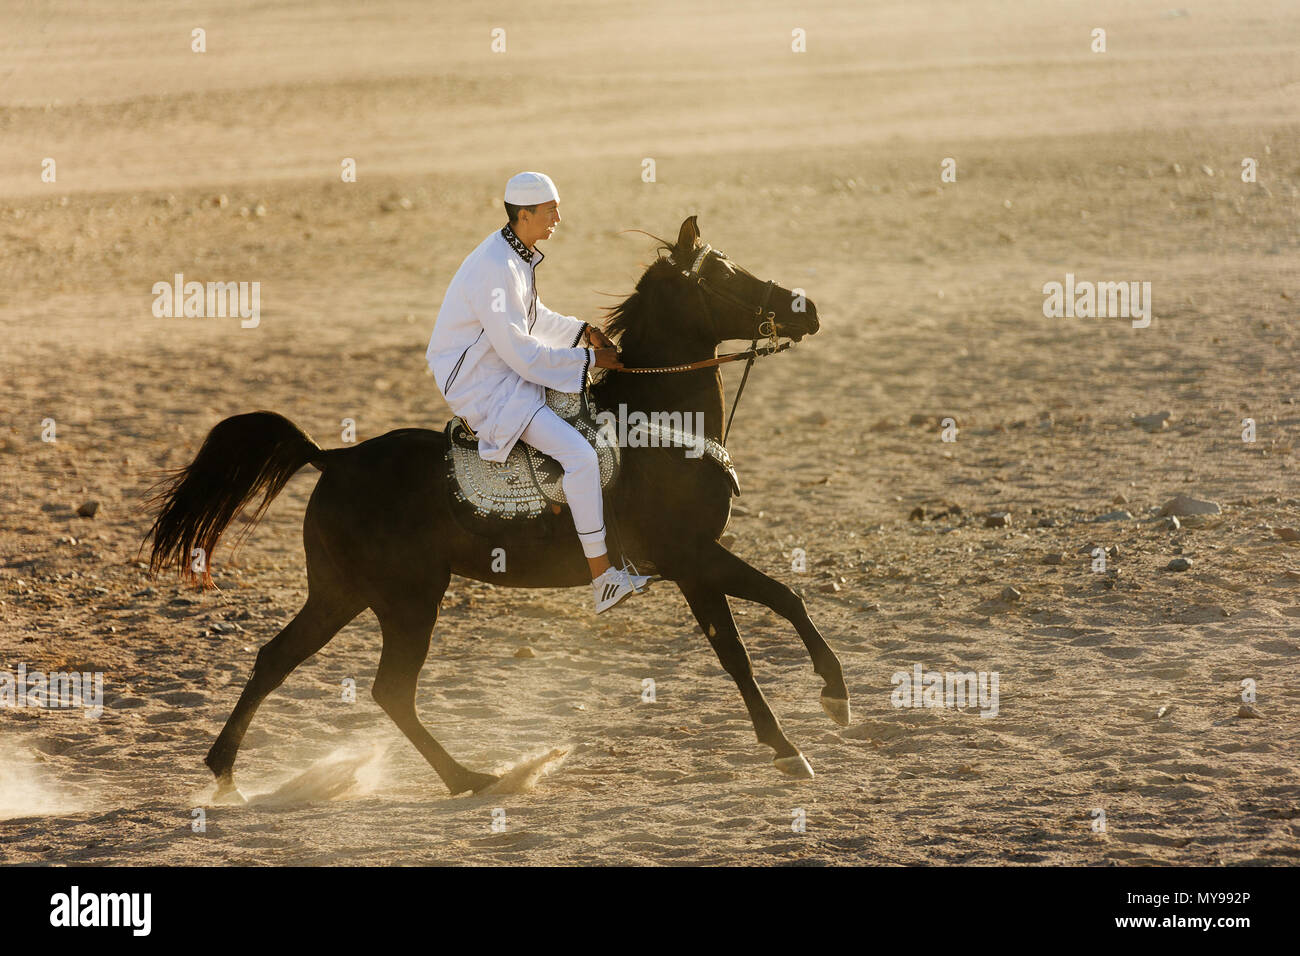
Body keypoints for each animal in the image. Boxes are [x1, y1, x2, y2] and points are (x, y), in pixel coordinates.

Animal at [144, 214, 852, 801]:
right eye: (726, 274)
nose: (809, 307)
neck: (659, 425)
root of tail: (334, 458)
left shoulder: (696, 562)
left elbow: (775, 610)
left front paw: (824, 707)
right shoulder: (691, 560)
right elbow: (751, 636)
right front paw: (803, 731)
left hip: (342, 594)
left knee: (277, 659)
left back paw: (227, 774)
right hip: (405, 601)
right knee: (388, 689)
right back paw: (473, 778)